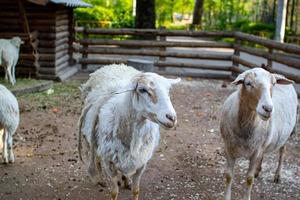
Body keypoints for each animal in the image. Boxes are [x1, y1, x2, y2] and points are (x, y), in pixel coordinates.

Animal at [78, 63, 180, 200]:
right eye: (142, 90)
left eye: (168, 90)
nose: (172, 118)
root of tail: (114, 65)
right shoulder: (109, 162)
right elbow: (114, 192)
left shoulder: (141, 162)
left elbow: (136, 191)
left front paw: (130, 184)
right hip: (93, 136)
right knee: (96, 154)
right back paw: (99, 178)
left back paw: (126, 181)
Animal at [219, 67, 298, 200]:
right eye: (248, 83)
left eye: (273, 84)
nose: (268, 109)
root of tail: (280, 74)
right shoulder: (229, 148)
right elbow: (228, 176)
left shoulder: (255, 153)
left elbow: (249, 179)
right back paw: (258, 170)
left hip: (285, 135)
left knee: (282, 151)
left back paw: (277, 175)